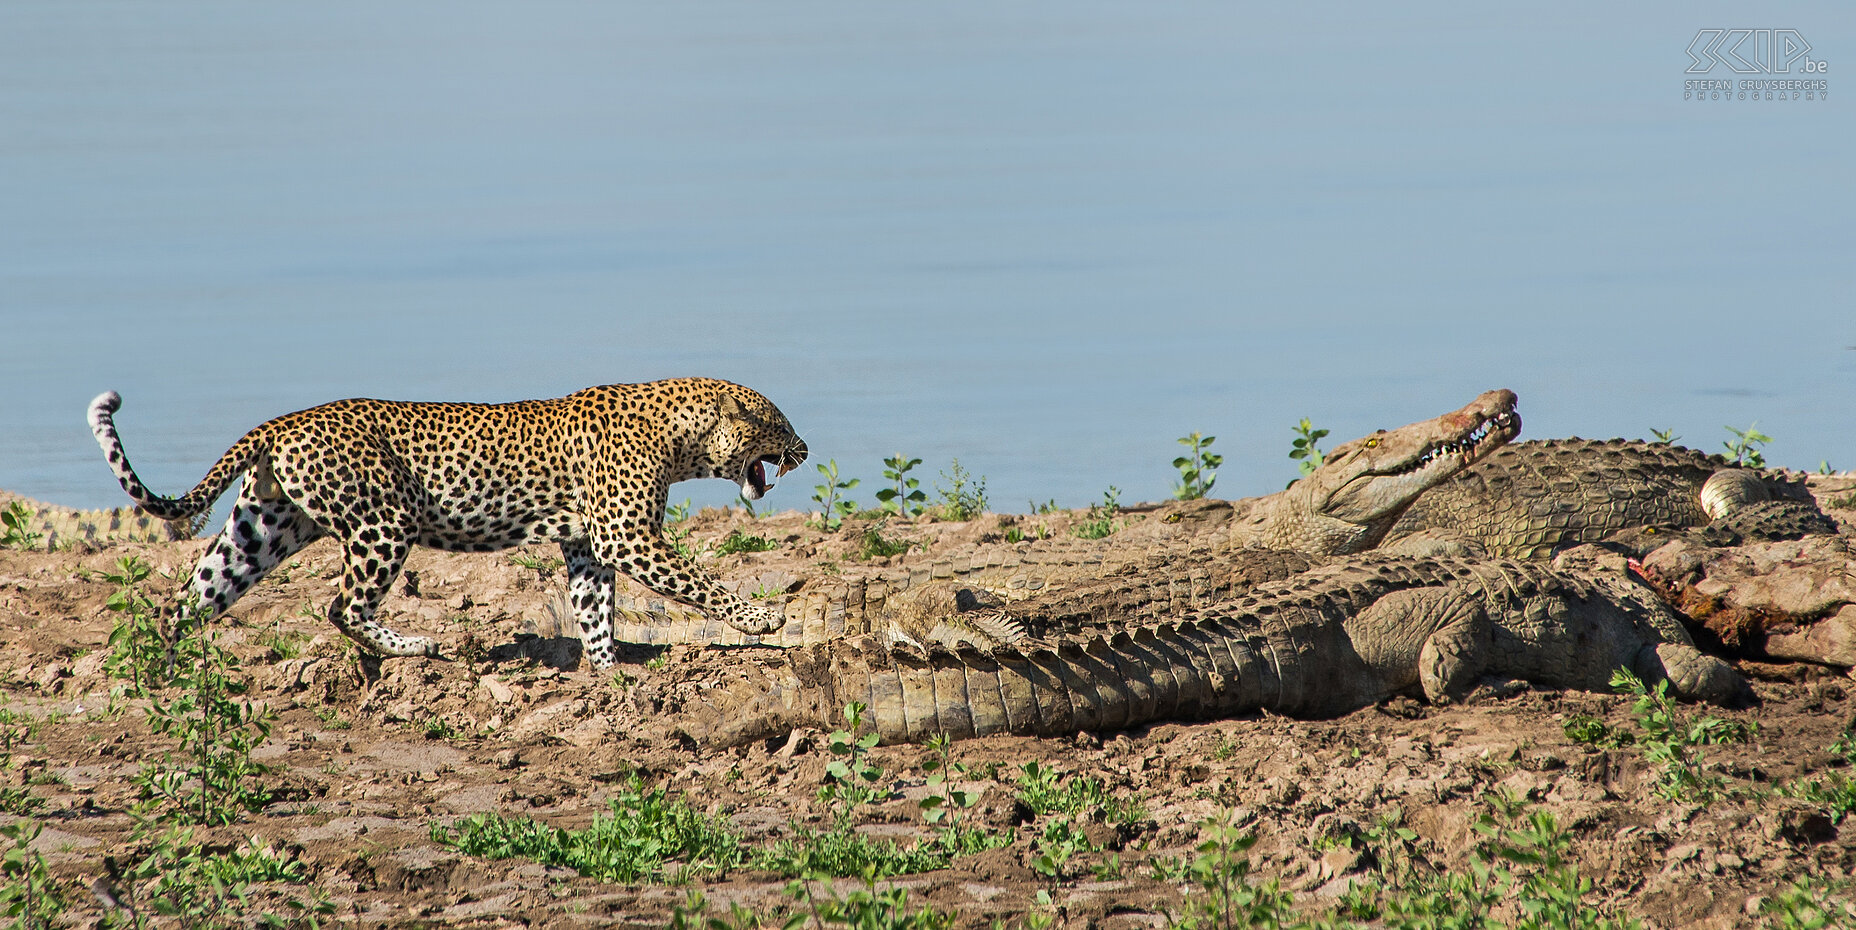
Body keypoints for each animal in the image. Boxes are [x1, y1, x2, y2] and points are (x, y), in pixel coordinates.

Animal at [88, 376, 805, 668]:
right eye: (781, 424)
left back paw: (164, 676)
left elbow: (594, 608)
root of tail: (280, 423)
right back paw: (416, 647)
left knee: (186, 601)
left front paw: (609, 674)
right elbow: (698, 581)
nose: (803, 449)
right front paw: (763, 619)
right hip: (384, 523)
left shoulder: (589, 544)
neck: (682, 437)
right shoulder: (628, 536)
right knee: (341, 605)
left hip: (263, 529)